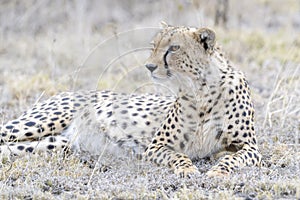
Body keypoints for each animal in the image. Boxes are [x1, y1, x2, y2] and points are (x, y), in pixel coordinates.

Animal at [0, 23, 262, 177]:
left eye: (174, 48)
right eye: (154, 46)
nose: (149, 66)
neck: (201, 89)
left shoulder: (250, 147)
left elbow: (232, 158)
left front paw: (218, 171)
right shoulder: (156, 147)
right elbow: (179, 155)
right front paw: (187, 170)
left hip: (56, 143)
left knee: (10, 148)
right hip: (39, 123)